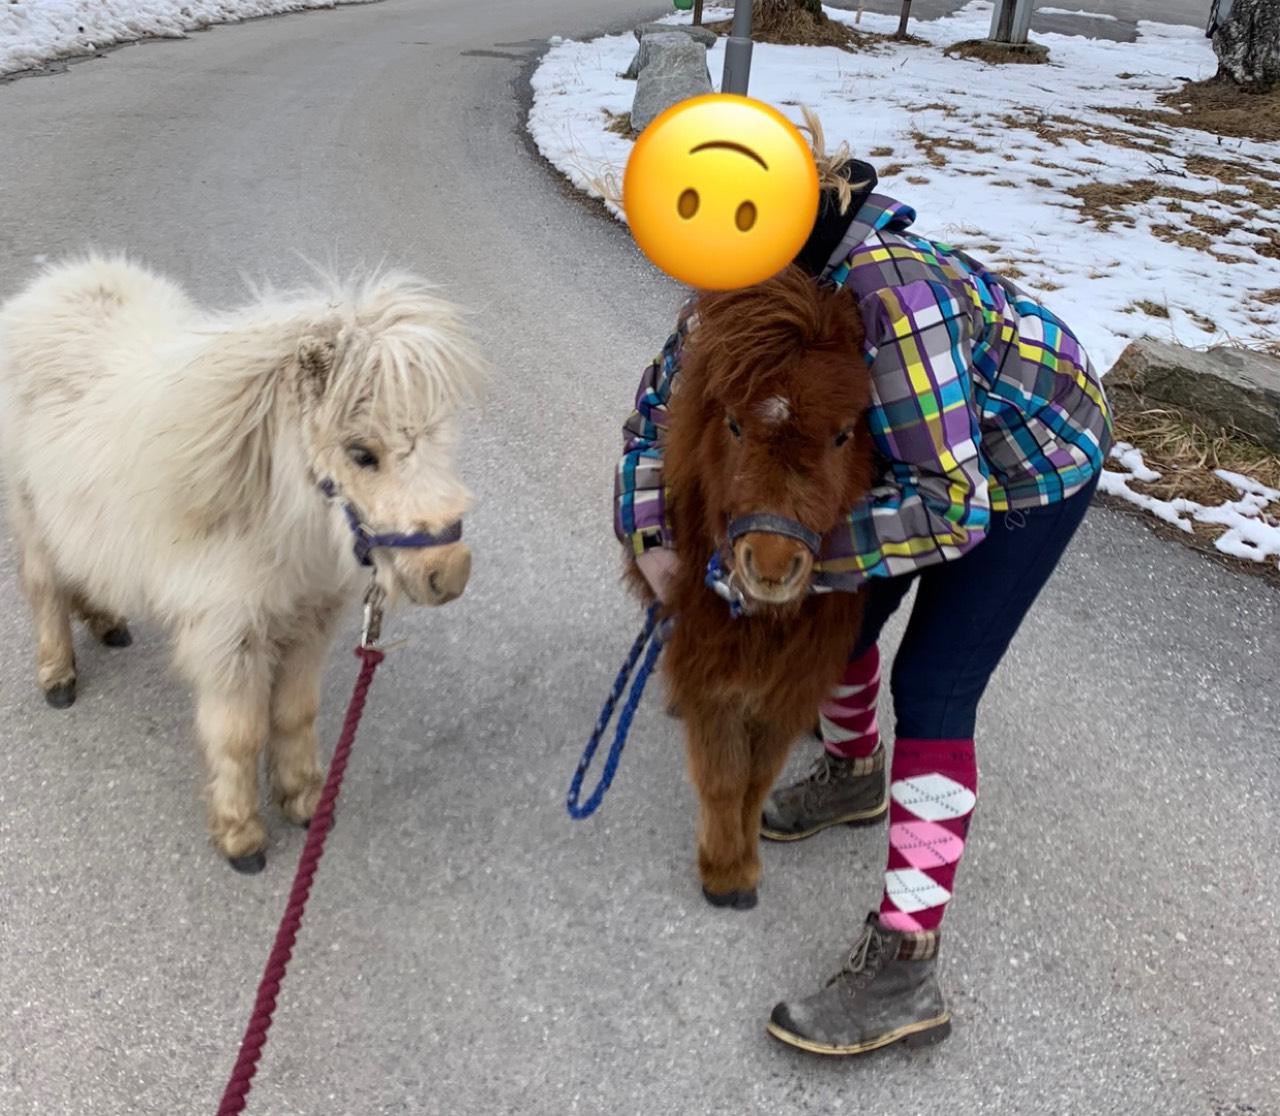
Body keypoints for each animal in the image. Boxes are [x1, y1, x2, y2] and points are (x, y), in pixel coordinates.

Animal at [0, 253, 483, 870]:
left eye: (442, 439)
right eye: (361, 454)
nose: (449, 574)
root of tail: (58, 283)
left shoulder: (308, 625)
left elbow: (294, 715)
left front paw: (302, 801)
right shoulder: (229, 639)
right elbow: (239, 735)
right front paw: (241, 835)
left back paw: (107, 623)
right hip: (30, 512)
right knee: (45, 587)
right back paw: (58, 675)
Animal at [645, 266, 875, 911]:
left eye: (844, 434)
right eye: (733, 424)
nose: (771, 565)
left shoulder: (792, 677)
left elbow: (757, 779)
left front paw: (741, 861)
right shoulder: (710, 663)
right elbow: (724, 776)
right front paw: (726, 872)